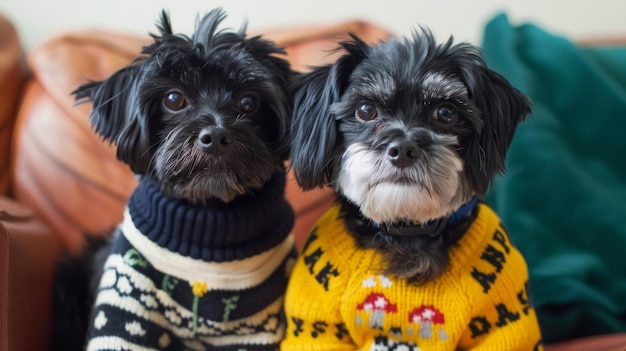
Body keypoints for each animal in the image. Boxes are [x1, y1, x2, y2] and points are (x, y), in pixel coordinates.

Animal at [53, 8, 294, 351]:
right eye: (173, 99)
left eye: (249, 101)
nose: (216, 136)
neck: (207, 225)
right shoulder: (126, 301)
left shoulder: (256, 324)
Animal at [280, 31, 544, 350]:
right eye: (366, 110)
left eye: (446, 112)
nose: (403, 150)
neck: (407, 231)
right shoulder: (318, 326)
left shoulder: (501, 322)